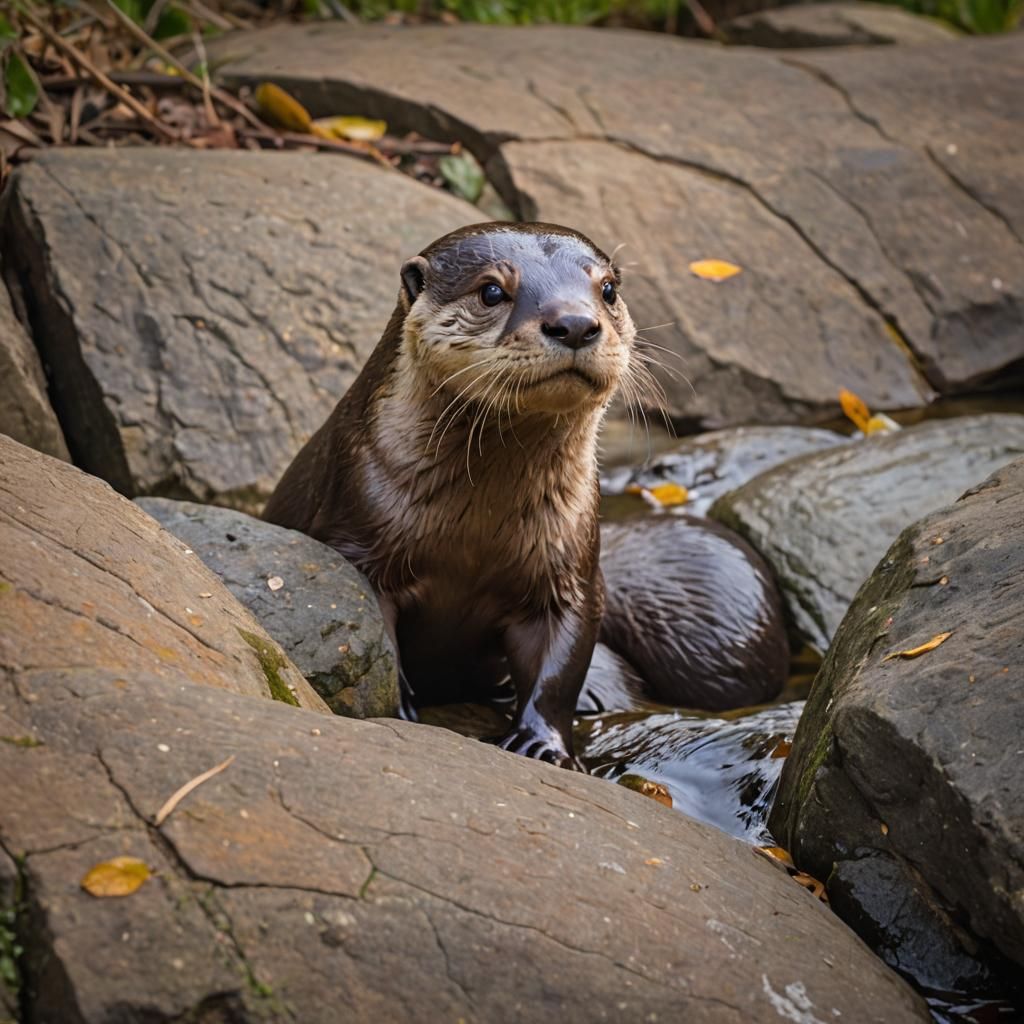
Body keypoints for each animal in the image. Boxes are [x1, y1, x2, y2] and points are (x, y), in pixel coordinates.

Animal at [264, 223, 638, 768]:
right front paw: (402, 711)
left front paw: (542, 743)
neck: (475, 536)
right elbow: (381, 637)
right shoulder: (358, 534)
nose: (574, 324)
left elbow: (561, 663)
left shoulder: (571, 566)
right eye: (492, 291)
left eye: (607, 289)